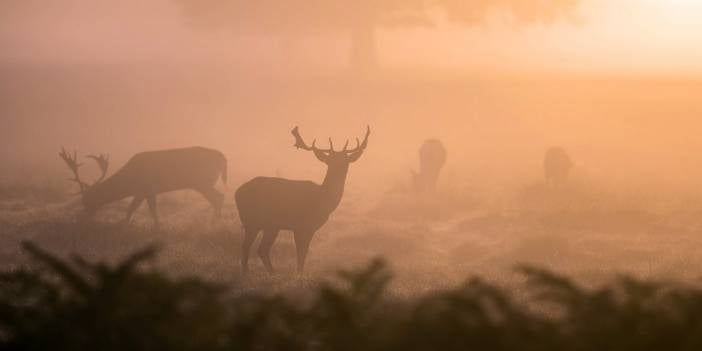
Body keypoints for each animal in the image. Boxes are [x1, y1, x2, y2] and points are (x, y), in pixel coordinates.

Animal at [59, 146, 228, 231]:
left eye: (88, 201)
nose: (78, 219)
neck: (129, 182)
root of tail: (223, 157)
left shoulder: (147, 188)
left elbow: (144, 208)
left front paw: (155, 227)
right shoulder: (142, 191)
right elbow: (134, 208)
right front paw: (124, 224)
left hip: (202, 182)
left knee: (219, 198)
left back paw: (214, 225)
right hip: (202, 183)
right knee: (219, 198)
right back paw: (216, 223)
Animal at [236, 126, 372, 276]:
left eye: (345, 161)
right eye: (329, 161)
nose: (339, 170)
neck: (323, 201)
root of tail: (237, 192)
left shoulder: (309, 227)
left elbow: (304, 253)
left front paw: (299, 273)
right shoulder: (301, 225)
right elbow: (301, 253)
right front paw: (299, 275)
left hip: (270, 225)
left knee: (261, 249)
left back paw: (271, 273)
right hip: (252, 220)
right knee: (247, 246)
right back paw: (247, 273)